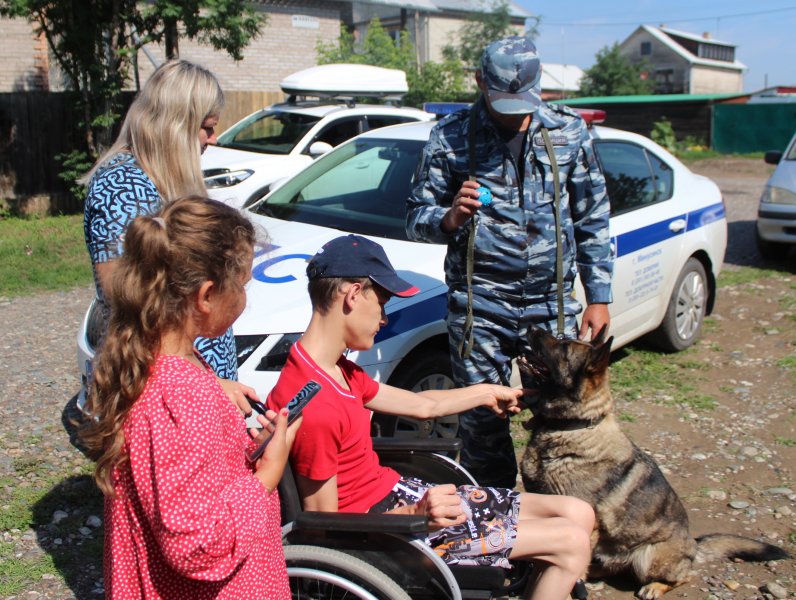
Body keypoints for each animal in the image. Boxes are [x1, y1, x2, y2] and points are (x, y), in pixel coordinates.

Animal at [516, 328, 788, 600]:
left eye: (564, 347)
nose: (531, 328)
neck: (574, 426)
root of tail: (693, 546)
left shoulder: (585, 523)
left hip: (649, 556)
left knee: (682, 576)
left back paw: (654, 587)